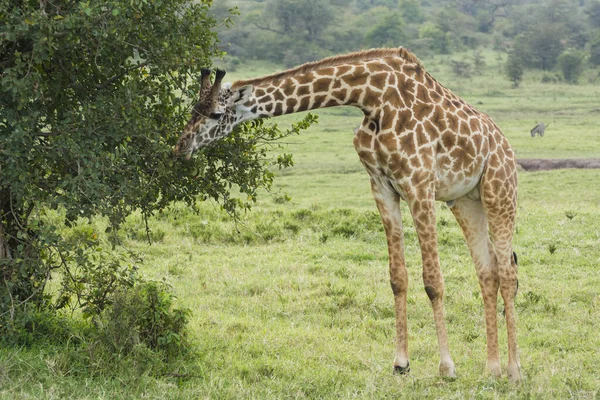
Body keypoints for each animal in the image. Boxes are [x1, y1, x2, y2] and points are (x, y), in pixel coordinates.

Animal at [176, 47, 524, 382]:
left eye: (216, 113)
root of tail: (505, 144)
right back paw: (492, 369)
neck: (371, 98)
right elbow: (397, 277)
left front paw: (447, 367)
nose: (180, 147)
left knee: (508, 272)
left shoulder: (419, 186)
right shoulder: (382, 187)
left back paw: (513, 369)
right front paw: (401, 364)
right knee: (488, 272)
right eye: (192, 110)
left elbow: (433, 281)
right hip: (465, 201)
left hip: (499, 190)